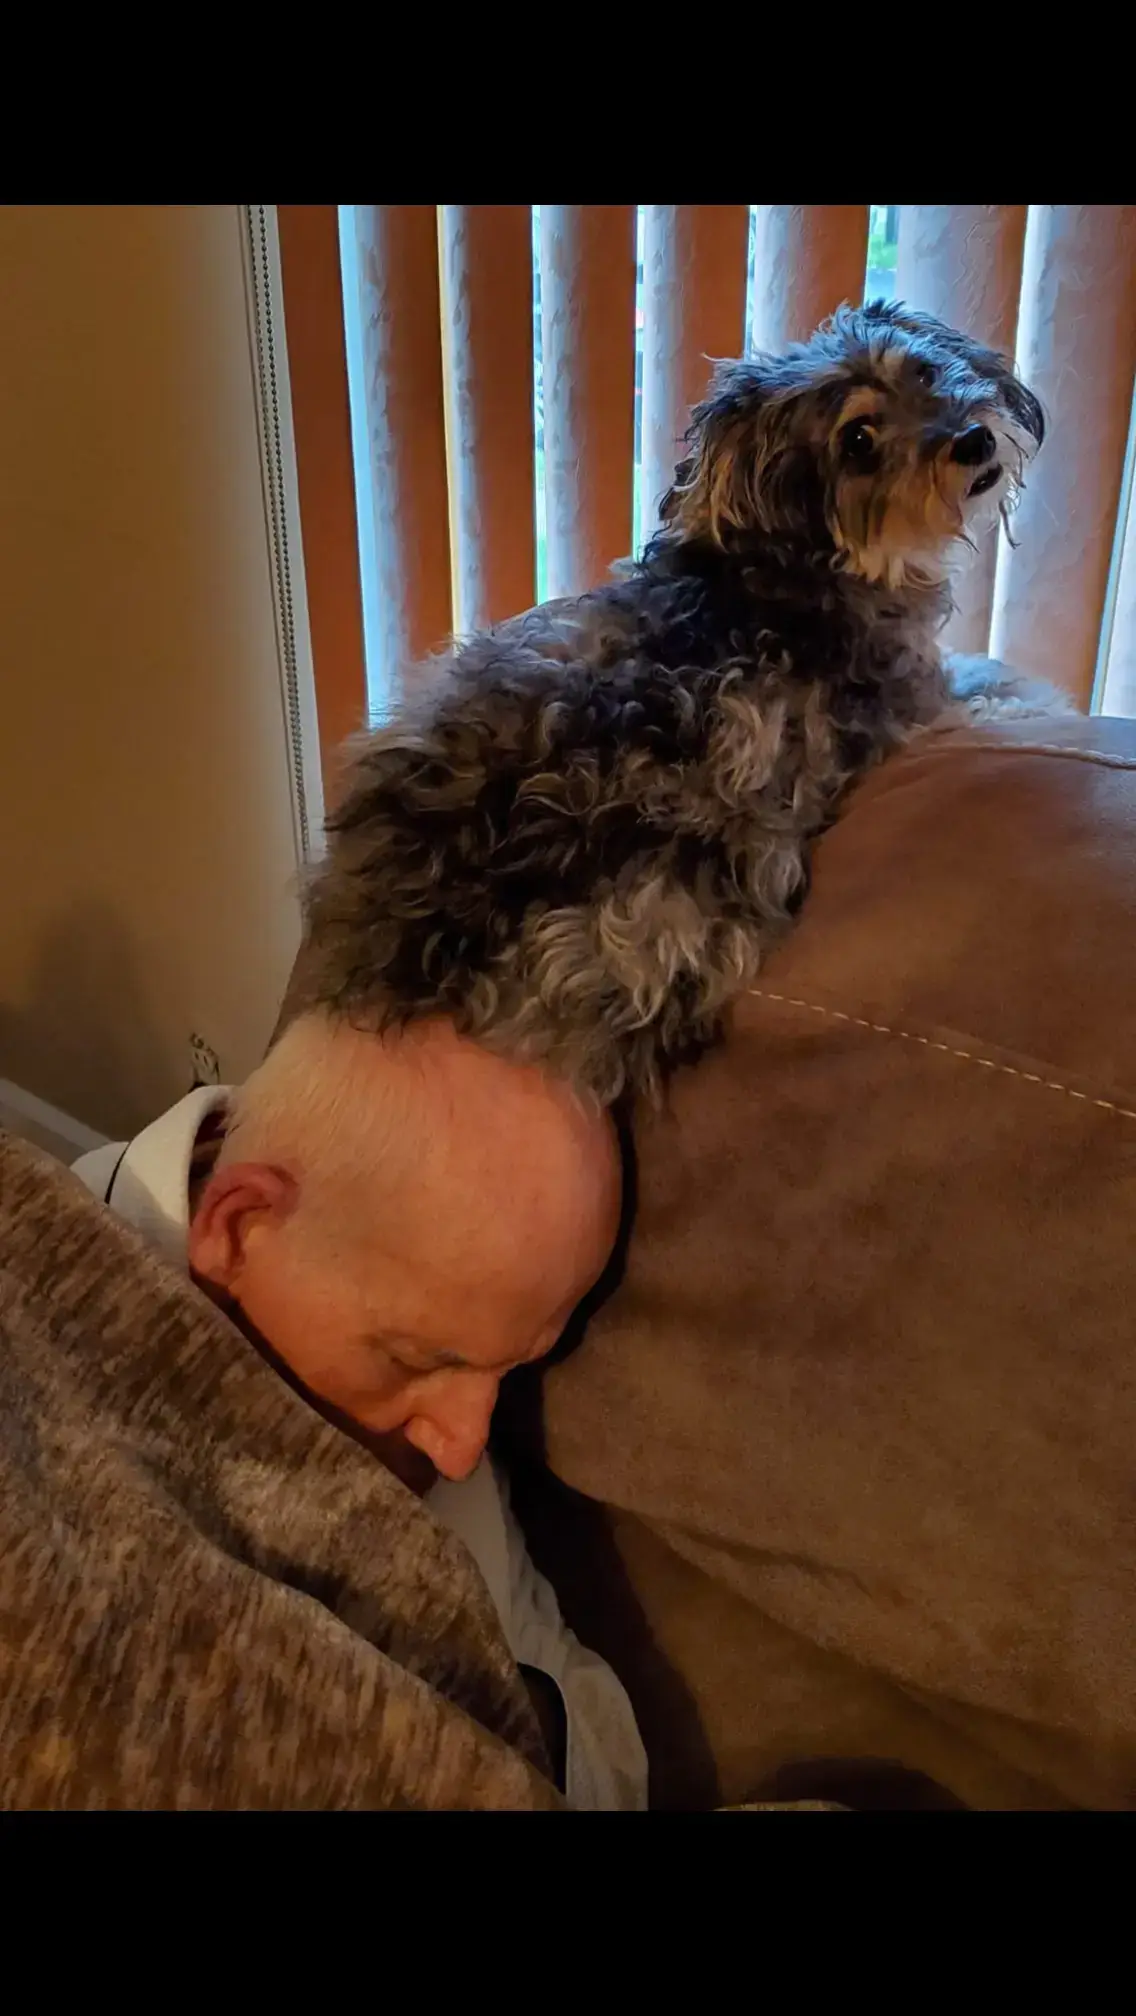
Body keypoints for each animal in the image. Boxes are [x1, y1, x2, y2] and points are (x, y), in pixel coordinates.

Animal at [306, 302, 1065, 1104]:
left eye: (923, 370)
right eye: (858, 439)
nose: (973, 437)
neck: (796, 564)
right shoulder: (914, 702)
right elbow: (994, 685)